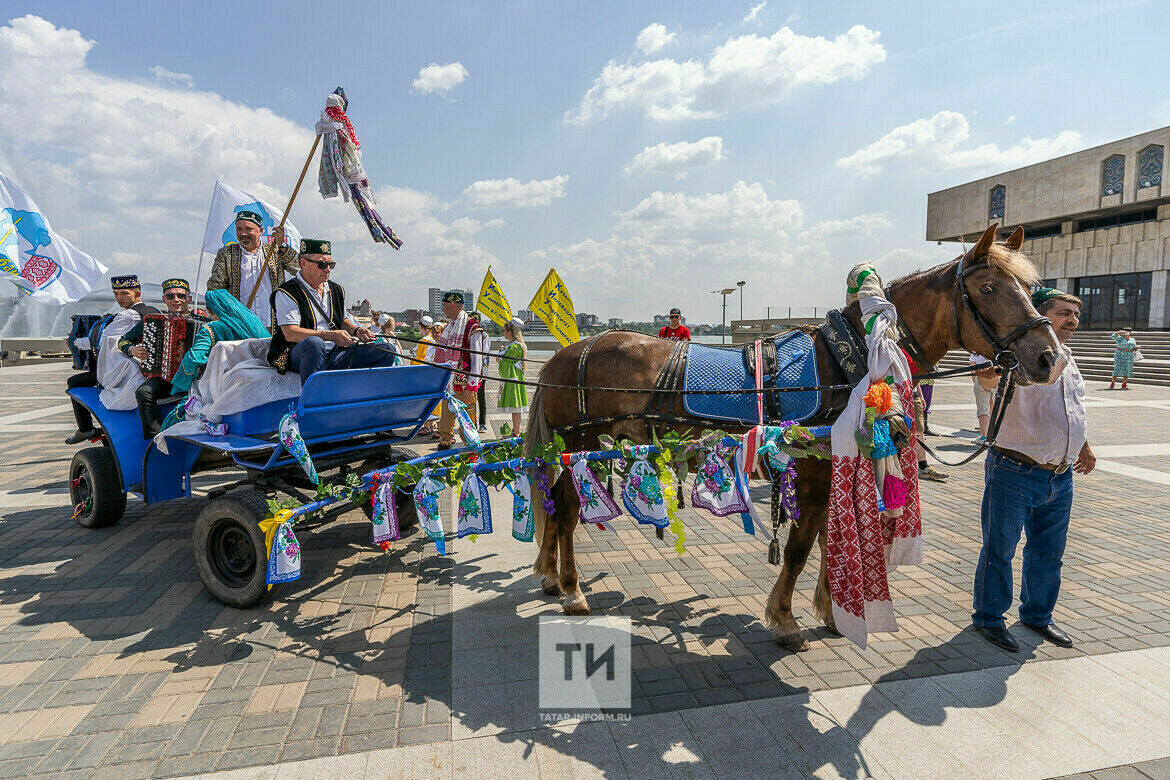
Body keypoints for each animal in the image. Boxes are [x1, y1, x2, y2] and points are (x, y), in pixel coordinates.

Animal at [526, 226, 1067, 654]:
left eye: (1030, 288)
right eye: (989, 287)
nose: (1049, 358)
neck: (853, 358)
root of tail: (560, 357)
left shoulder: (833, 466)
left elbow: (830, 537)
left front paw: (831, 611)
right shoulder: (810, 471)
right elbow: (802, 546)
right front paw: (786, 620)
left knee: (554, 505)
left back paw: (550, 576)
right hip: (578, 447)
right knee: (566, 510)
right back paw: (572, 589)